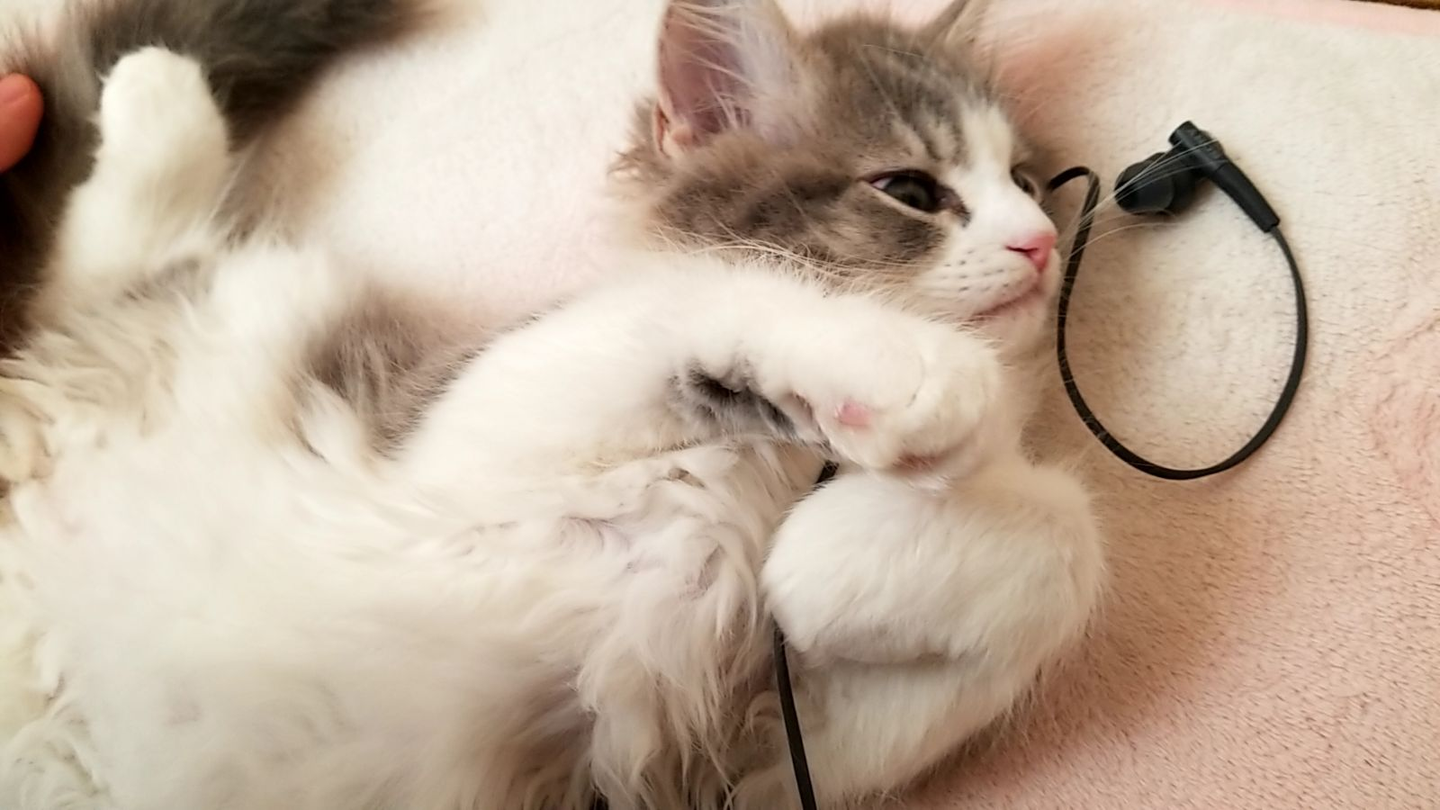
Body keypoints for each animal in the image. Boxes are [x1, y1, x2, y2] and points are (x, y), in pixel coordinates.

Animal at [0, 1, 1104, 809]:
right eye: (911, 190)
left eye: (1025, 180)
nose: (1040, 242)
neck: (776, 468)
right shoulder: (476, 431)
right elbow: (711, 296)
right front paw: (912, 375)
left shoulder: (745, 758)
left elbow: (1059, 551)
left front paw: (825, 553)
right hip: (247, 315)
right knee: (106, 251)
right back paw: (154, 90)